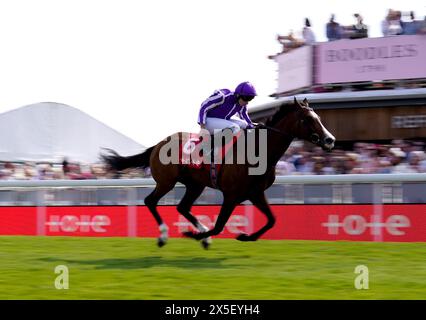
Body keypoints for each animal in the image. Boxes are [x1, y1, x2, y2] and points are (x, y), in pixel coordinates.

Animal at [101, 97, 334, 248]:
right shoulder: (231, 195)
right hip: (166, 182)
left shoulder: (256, 193)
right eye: (308, 119)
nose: (330, 140)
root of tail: (157, 144)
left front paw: (244, 236)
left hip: (195, 184)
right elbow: (220, 225)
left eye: (319, 117)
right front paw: (194, 234)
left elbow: (272, 220)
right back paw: (164, 236)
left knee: (183, 206)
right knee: (151, 201)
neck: (258, 152)